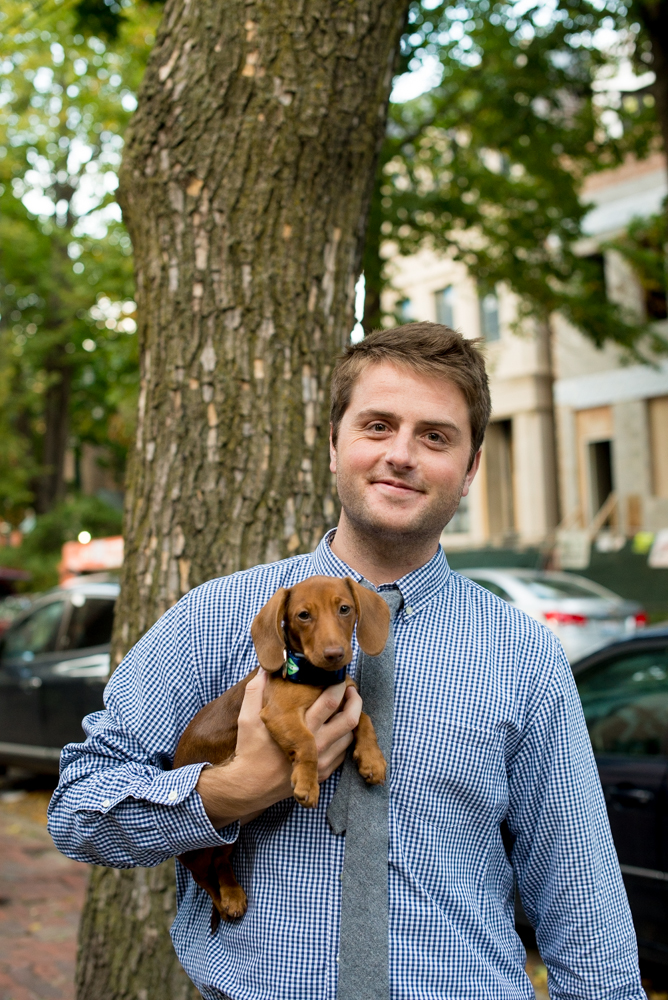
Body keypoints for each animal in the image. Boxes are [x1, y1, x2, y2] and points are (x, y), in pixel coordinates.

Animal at [172, 576, 392, 932]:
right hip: (197, 849)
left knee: (221, 863)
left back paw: (233, 894)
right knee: (204, 878)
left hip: (229, 837)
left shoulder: (345, 698)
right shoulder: (280, 715)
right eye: (304, 615)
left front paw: (372, 759)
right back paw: (225, 900)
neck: (315, 678)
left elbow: (364, 718)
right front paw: (307, 783)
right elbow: (307, 742)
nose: (334, 654)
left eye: (344, 608)